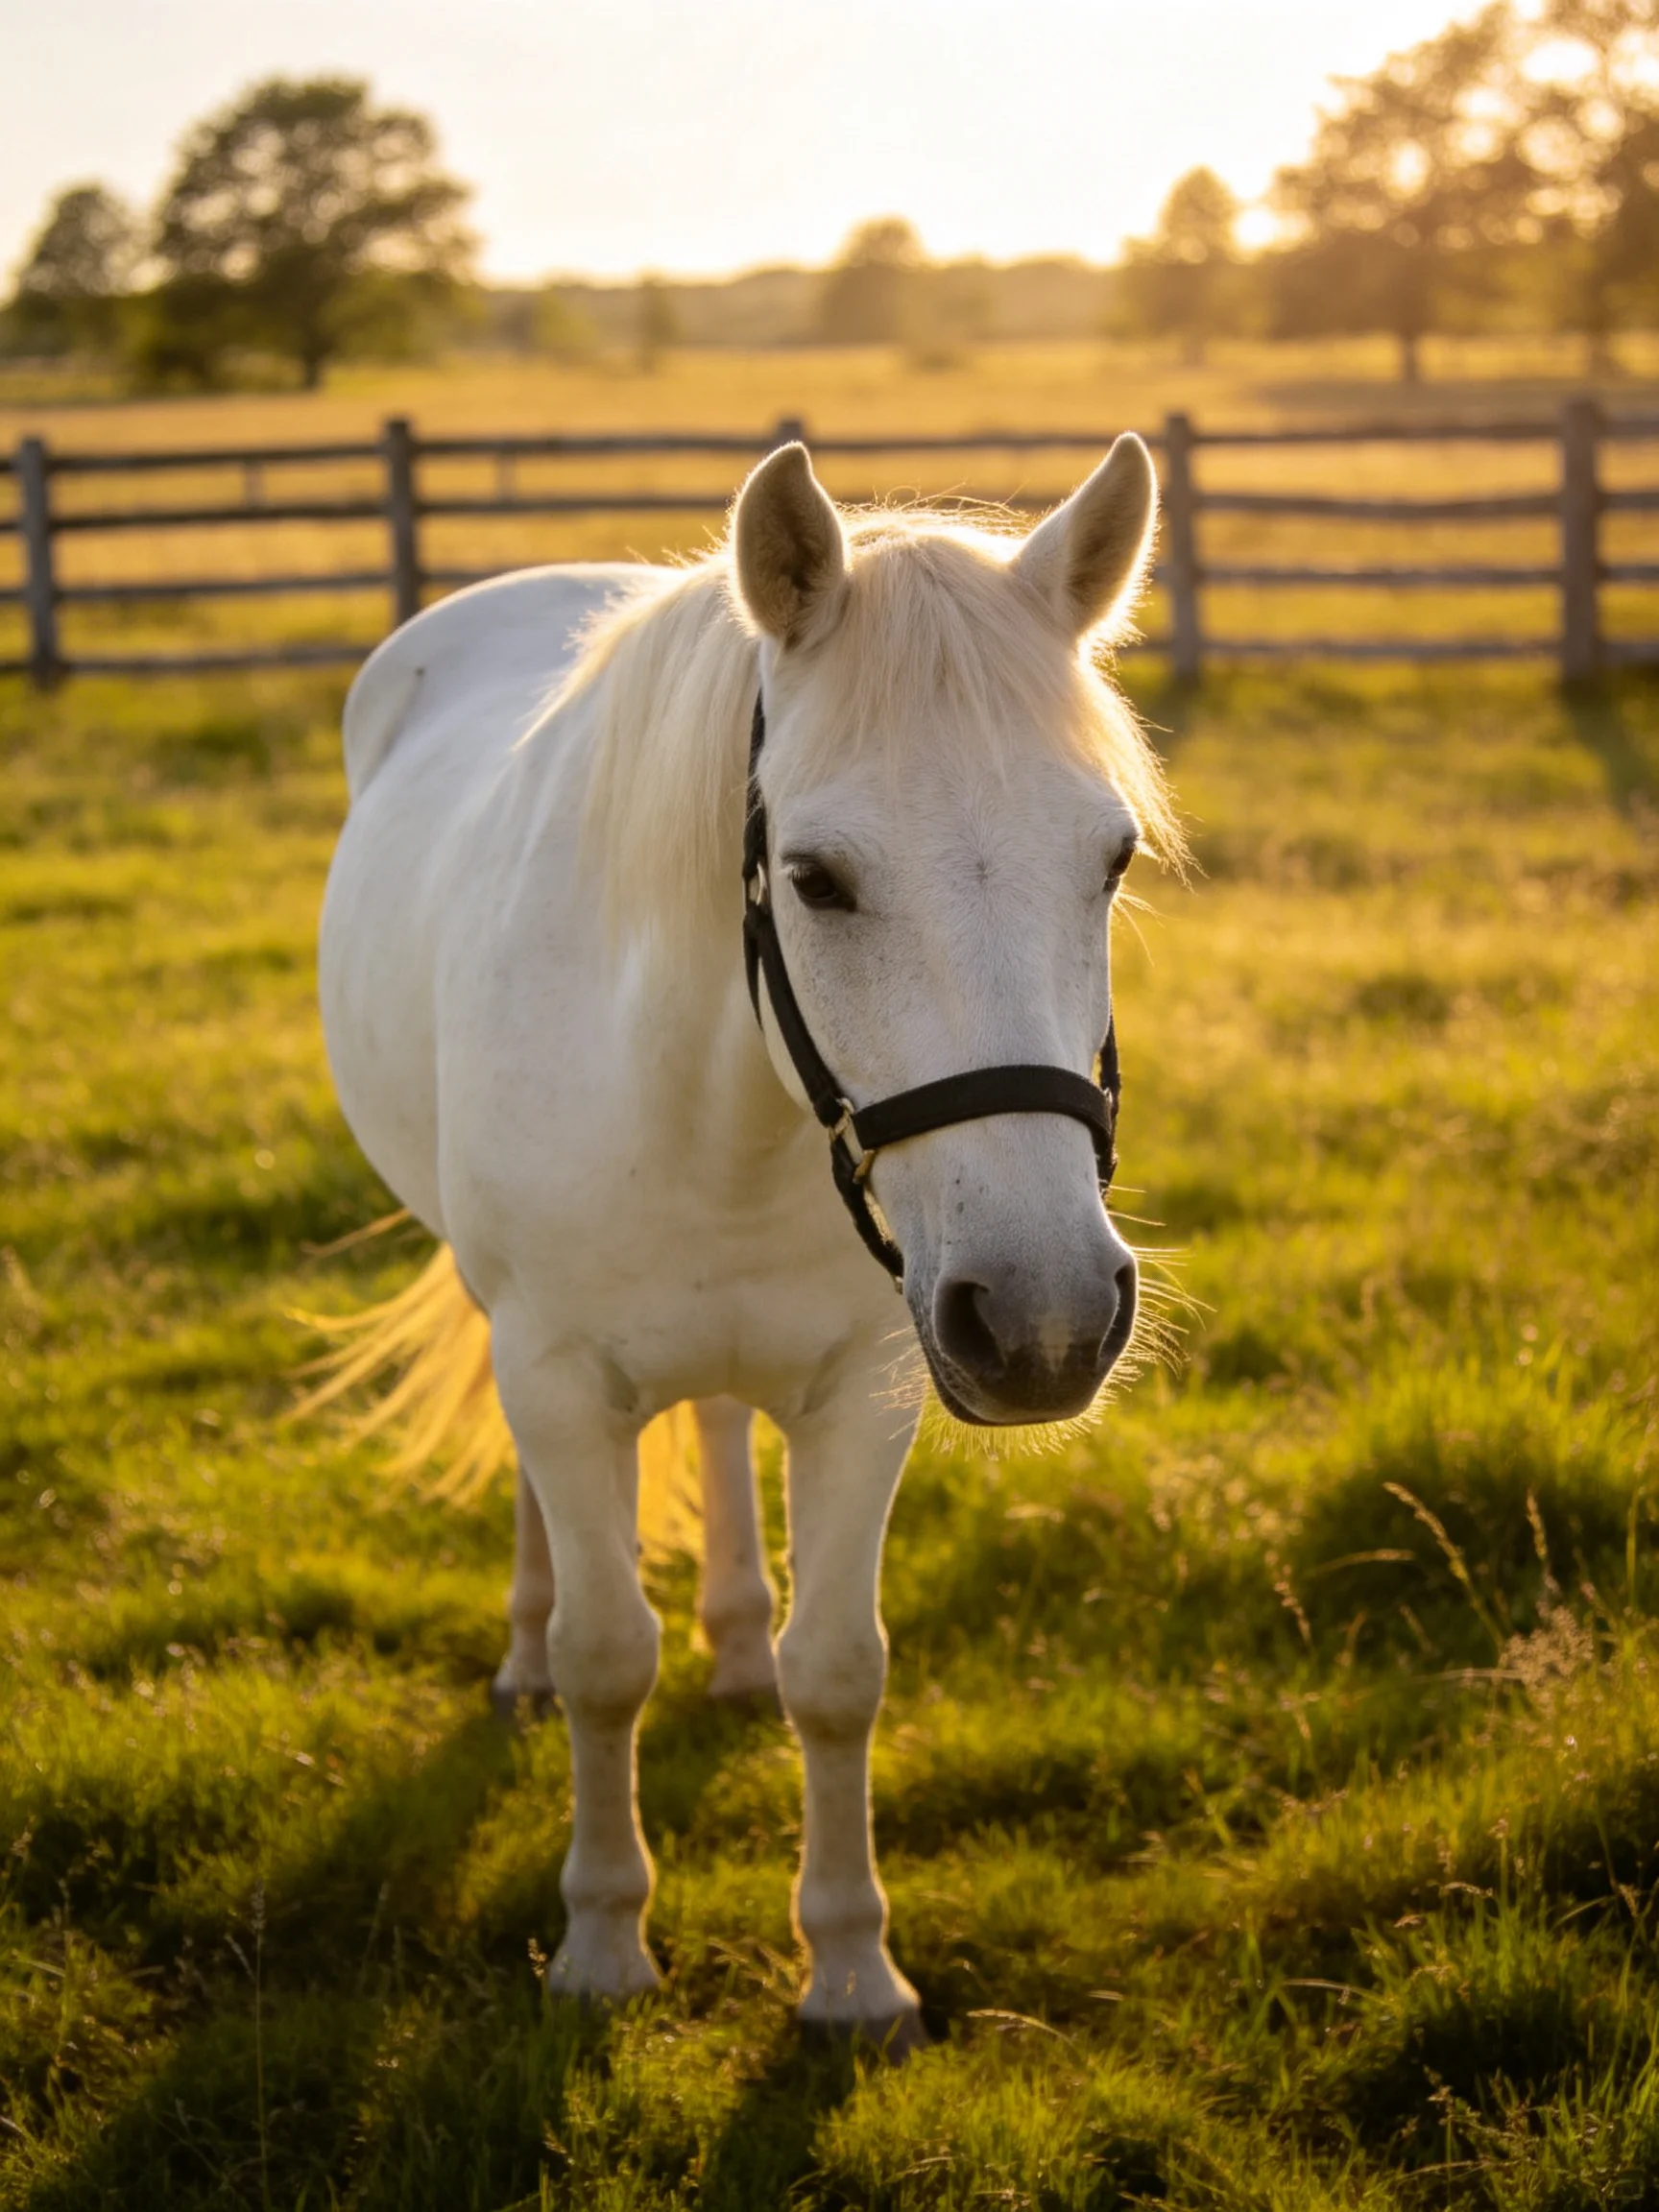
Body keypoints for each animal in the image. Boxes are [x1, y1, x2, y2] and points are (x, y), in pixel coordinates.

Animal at [315, 435, 1181, 2048]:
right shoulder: (557, 1374)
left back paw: (727, 1641)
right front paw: (601, 1945)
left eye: (1108, 859)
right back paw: (524, 1656)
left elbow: (837, 1673)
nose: (1044, 1318)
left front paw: (849, 1973)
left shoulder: (869, 1391)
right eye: (820, 878)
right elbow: (606, 1661)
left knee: (717, 1423)